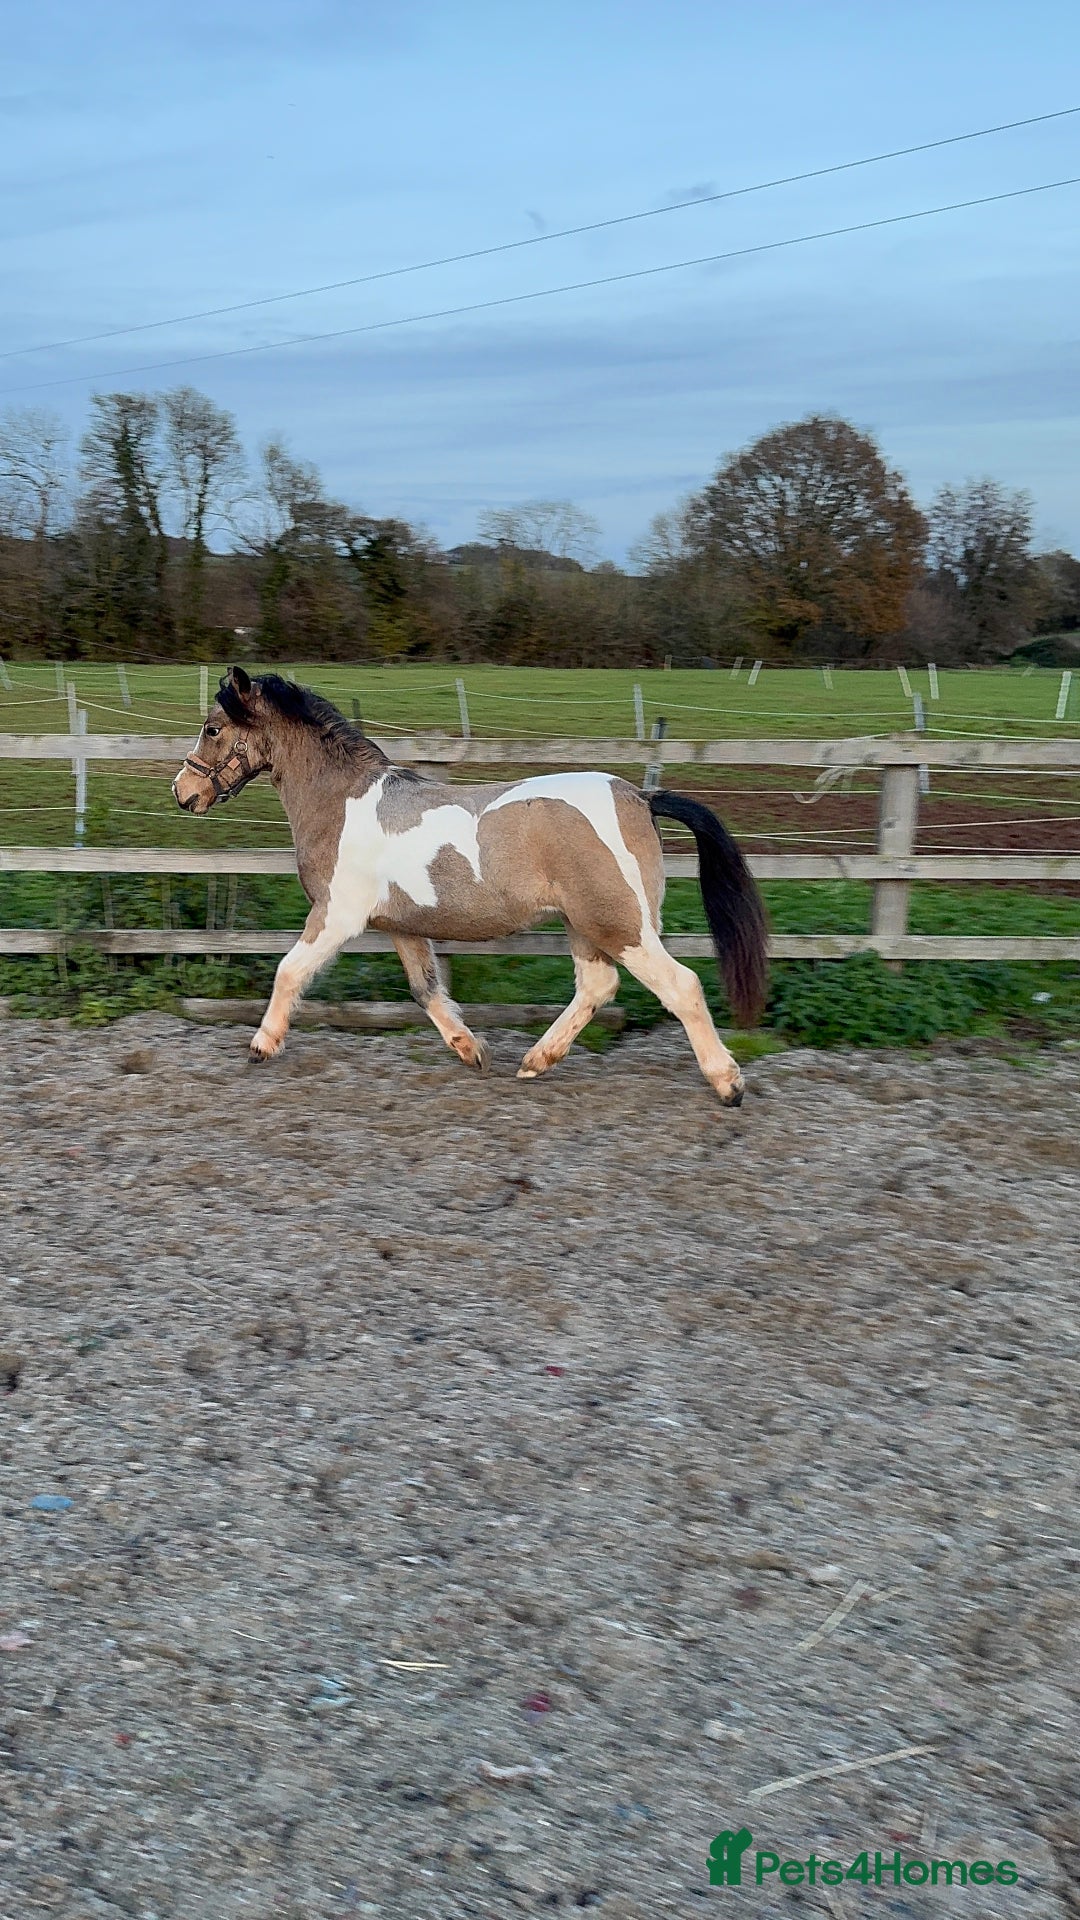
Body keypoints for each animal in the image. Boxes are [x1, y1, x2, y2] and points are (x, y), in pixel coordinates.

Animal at [173, 669, 768, 1107]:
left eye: (212, 729)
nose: (183, 792)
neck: (340, 802)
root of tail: (640, 799)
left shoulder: (336, 914)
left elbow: (289, 971)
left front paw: (261, 1045)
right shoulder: (401, 926)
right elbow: (426, 990)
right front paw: (471, 1051)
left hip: (619, 925)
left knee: (682, 986)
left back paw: (728, 1084)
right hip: (585, 924)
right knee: (597, 988)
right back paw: (534, 1062)